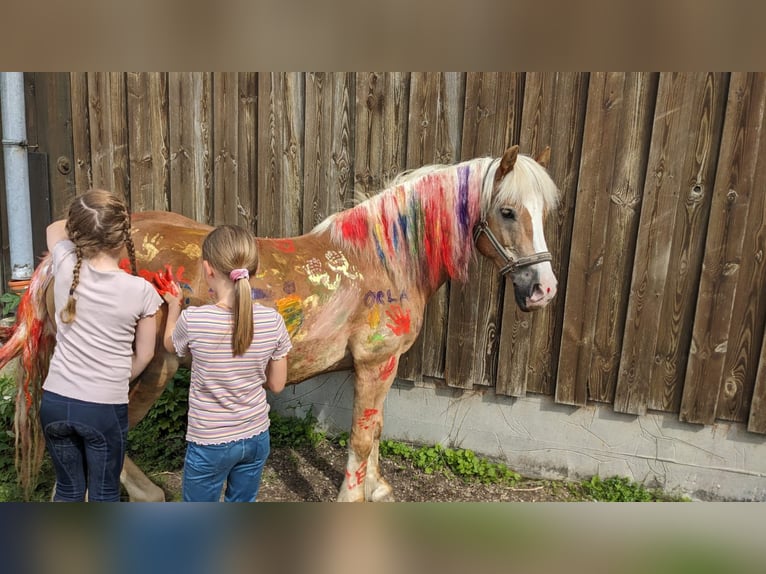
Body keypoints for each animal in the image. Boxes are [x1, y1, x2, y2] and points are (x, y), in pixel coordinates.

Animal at [3, 145, 560, 504]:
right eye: (507, 211)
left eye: (544, 212)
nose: (544, 289)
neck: (384, 257)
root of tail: (70, 250)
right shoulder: (376, 364)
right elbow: (362, 436)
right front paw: (354, 497)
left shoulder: (382, 368)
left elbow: (375, 428)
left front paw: (378, 488)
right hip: (147, 368)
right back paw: (148, 494)